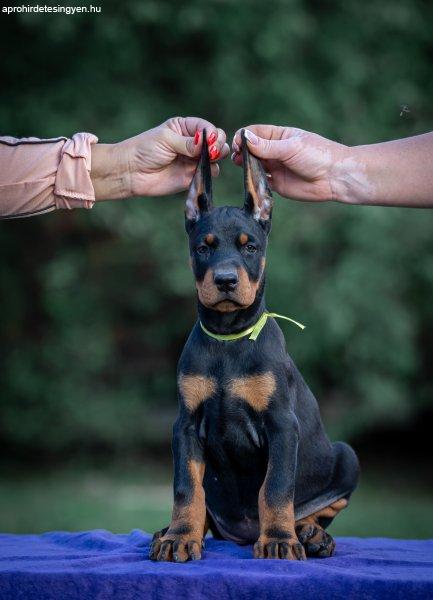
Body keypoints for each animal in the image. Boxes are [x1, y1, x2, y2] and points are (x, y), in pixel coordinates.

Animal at [148, 130, 358, 564]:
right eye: (203, 247)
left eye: (250, 247)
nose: (226, 281)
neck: (229, 336)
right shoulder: (185, 425)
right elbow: (186, 488)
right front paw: (180, 536)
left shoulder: (281, 425)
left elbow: (276, 488)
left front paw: (279, 539)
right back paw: (170, 531)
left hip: (346, 456)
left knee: (314, 508)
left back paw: (311, 534)